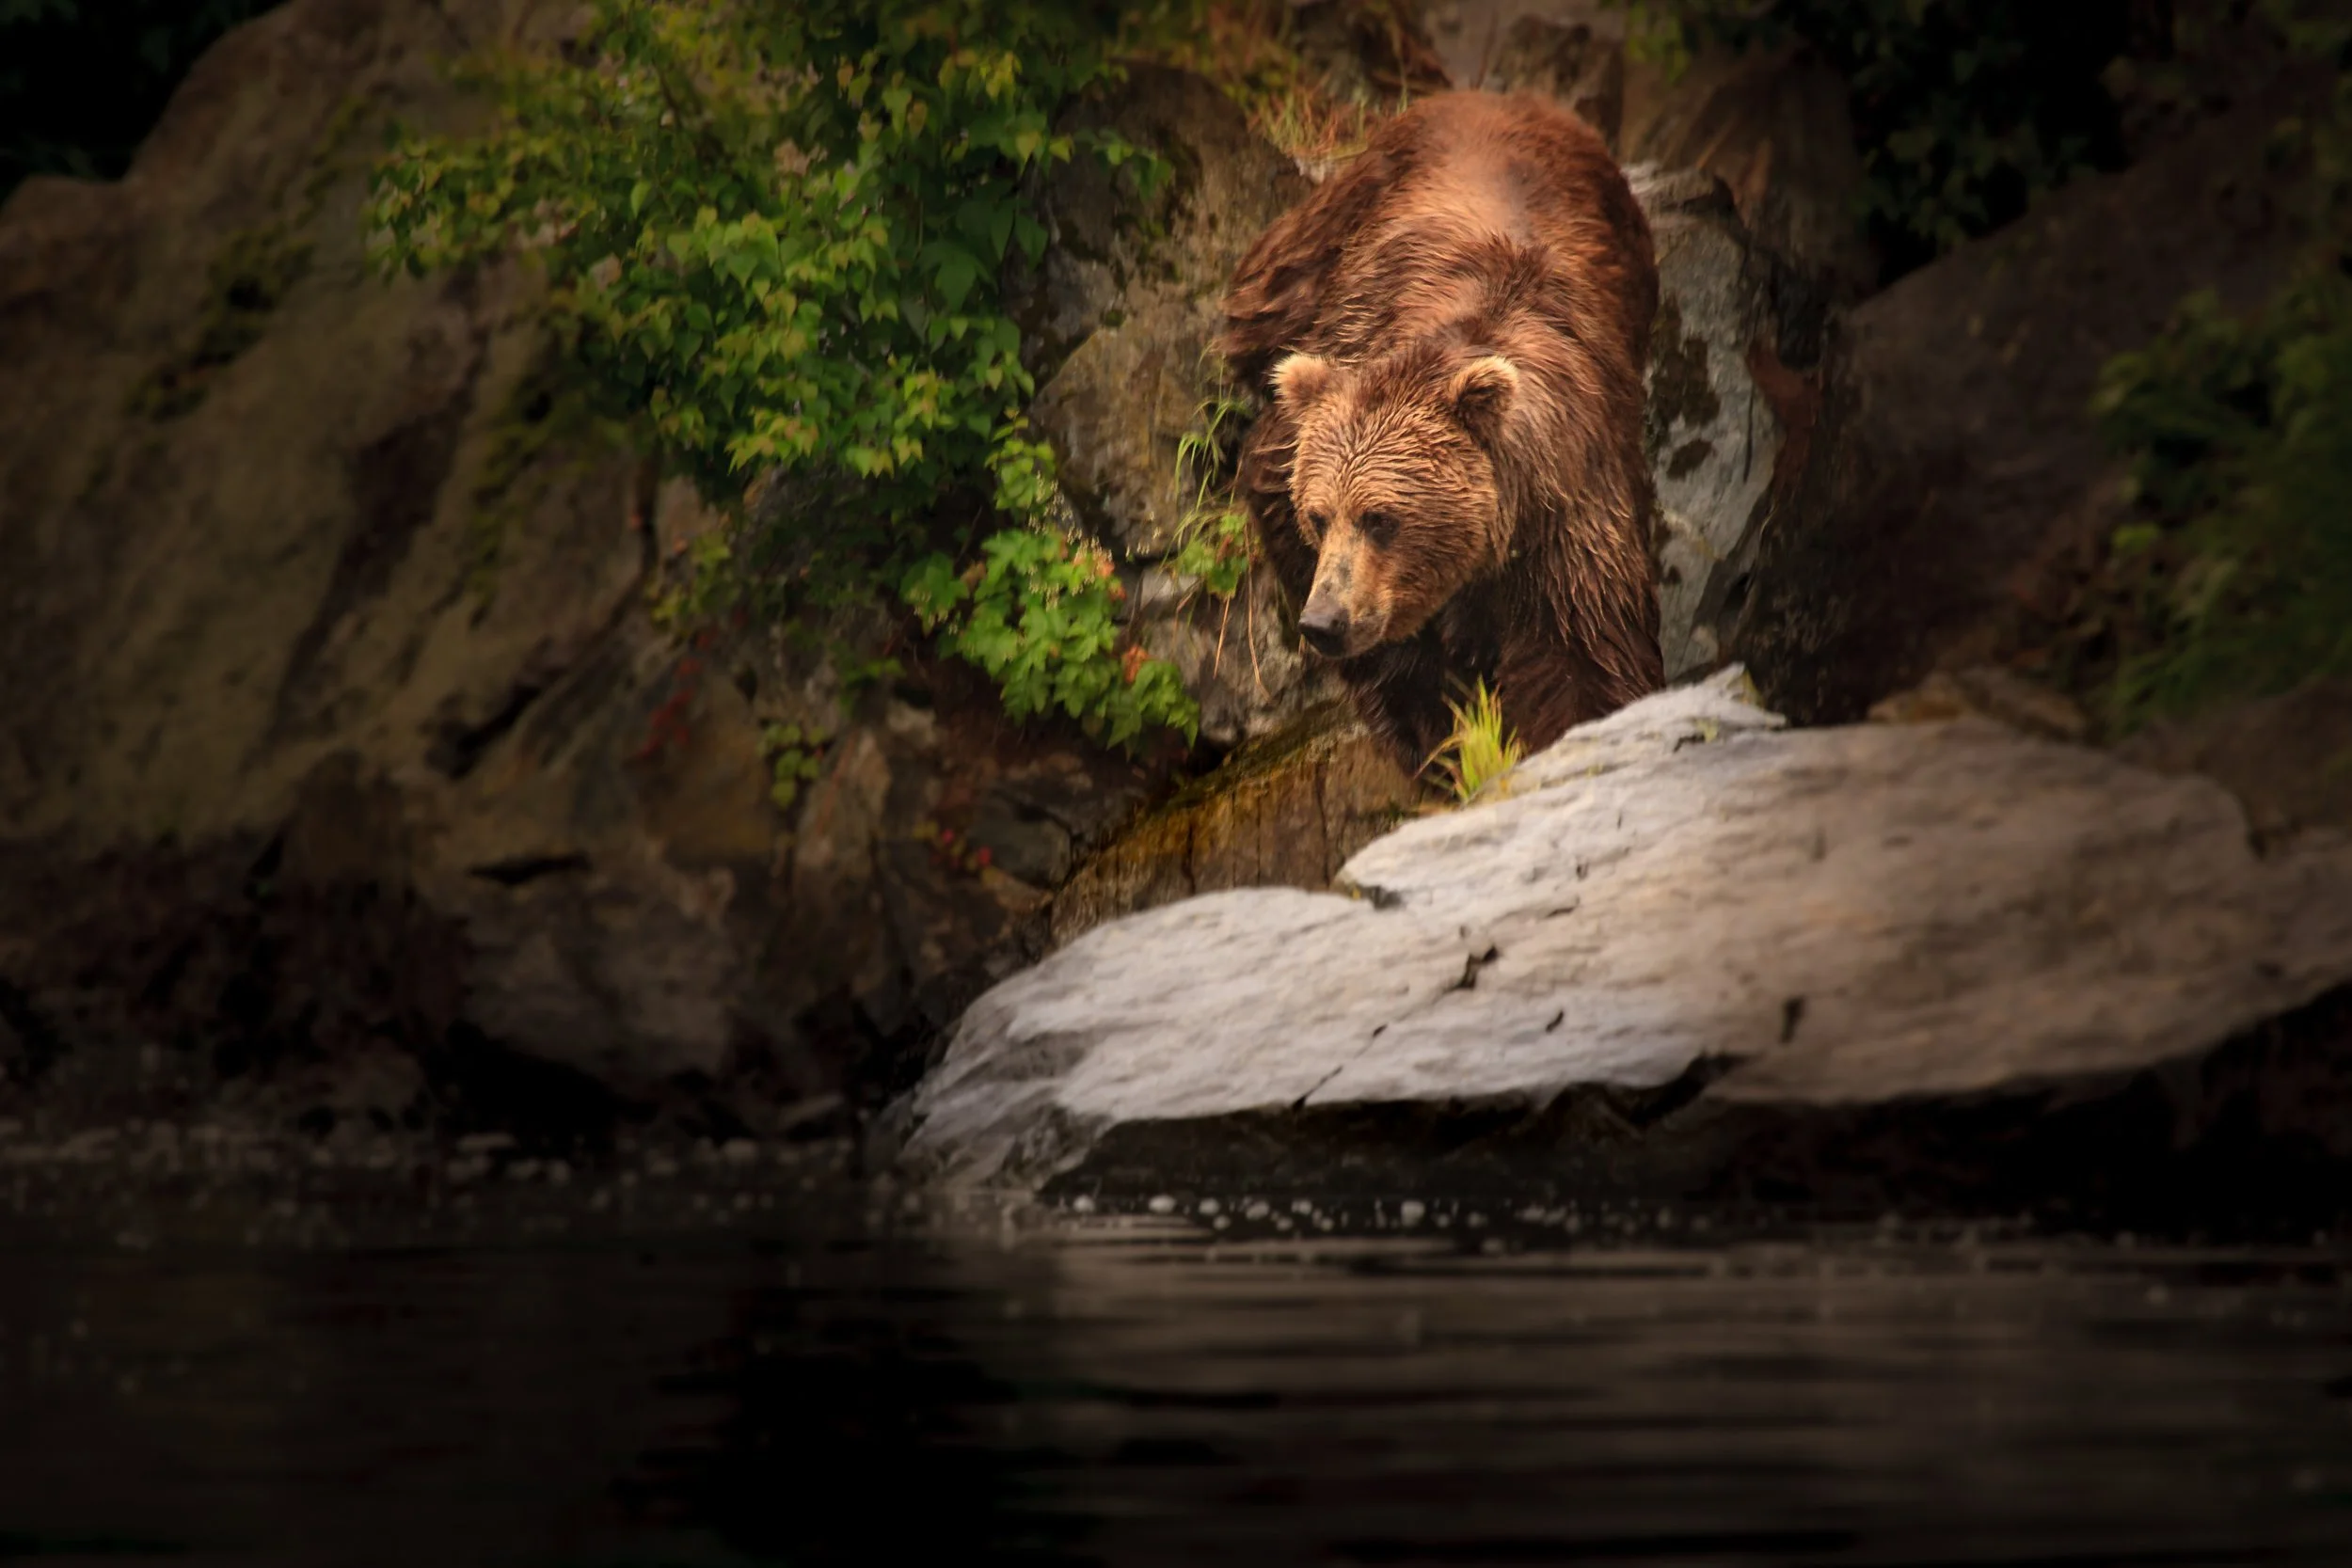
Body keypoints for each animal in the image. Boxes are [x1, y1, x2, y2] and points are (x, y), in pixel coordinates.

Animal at [1216, 91, 1665, 771]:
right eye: (1318, 515)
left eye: (1381, 517)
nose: (1324, 622)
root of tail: (1505, 97)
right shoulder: (1322, 395)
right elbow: (1273, 486)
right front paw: (1432, 718)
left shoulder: (1567, 500)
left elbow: (1582, 649)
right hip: (1332, 226)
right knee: (1261, 298)